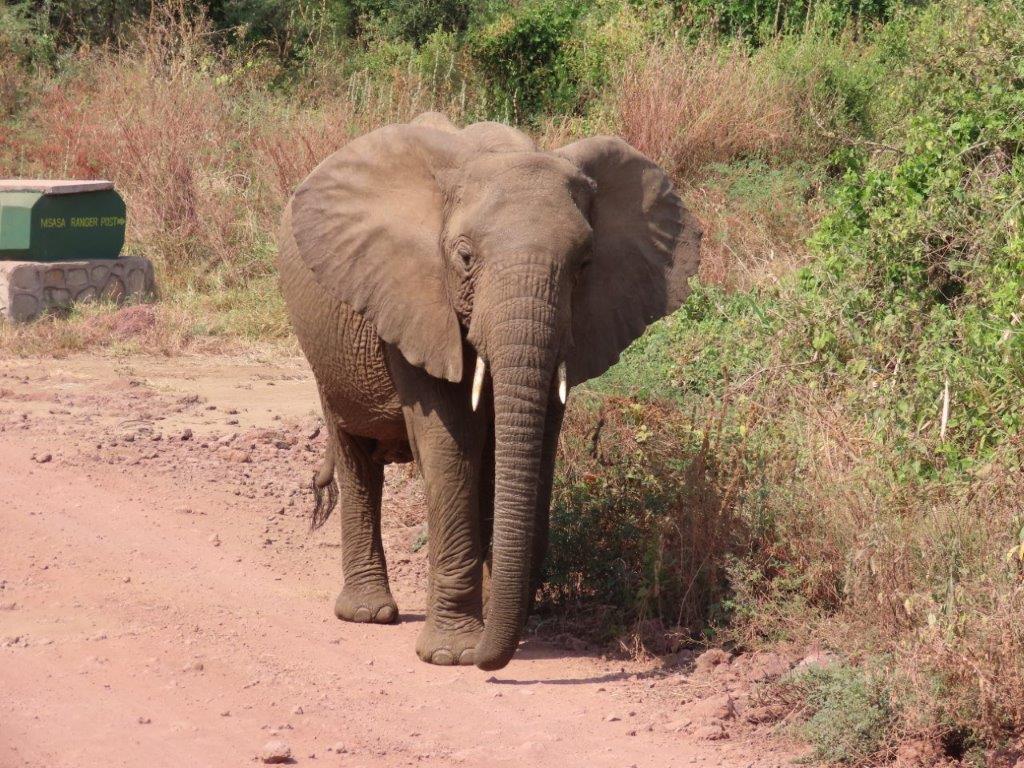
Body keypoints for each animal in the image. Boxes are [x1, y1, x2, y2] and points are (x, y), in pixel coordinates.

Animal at [277, 111, 701, 671]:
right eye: (464, 257)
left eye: (585, 263)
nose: (490, 657)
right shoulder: (417, 298)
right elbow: (451, 441)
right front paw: (454, 654)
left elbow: (533, 438)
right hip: (326, 347)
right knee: (357, 456)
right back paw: (369, 614)